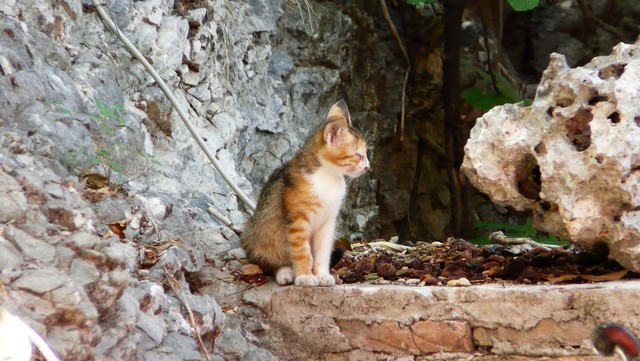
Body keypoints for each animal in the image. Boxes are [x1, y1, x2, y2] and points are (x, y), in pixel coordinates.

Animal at [240, 100, 370, 286]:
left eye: (366, 153)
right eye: (358, 155)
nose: (367, 166)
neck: (328, 176)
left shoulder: (328, 222)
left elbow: (323, 253)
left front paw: (322, 274)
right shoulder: (297, 220)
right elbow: (302, 252)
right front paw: (304, 276)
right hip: (255, 233)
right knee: (271, 262)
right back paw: (286, 272)